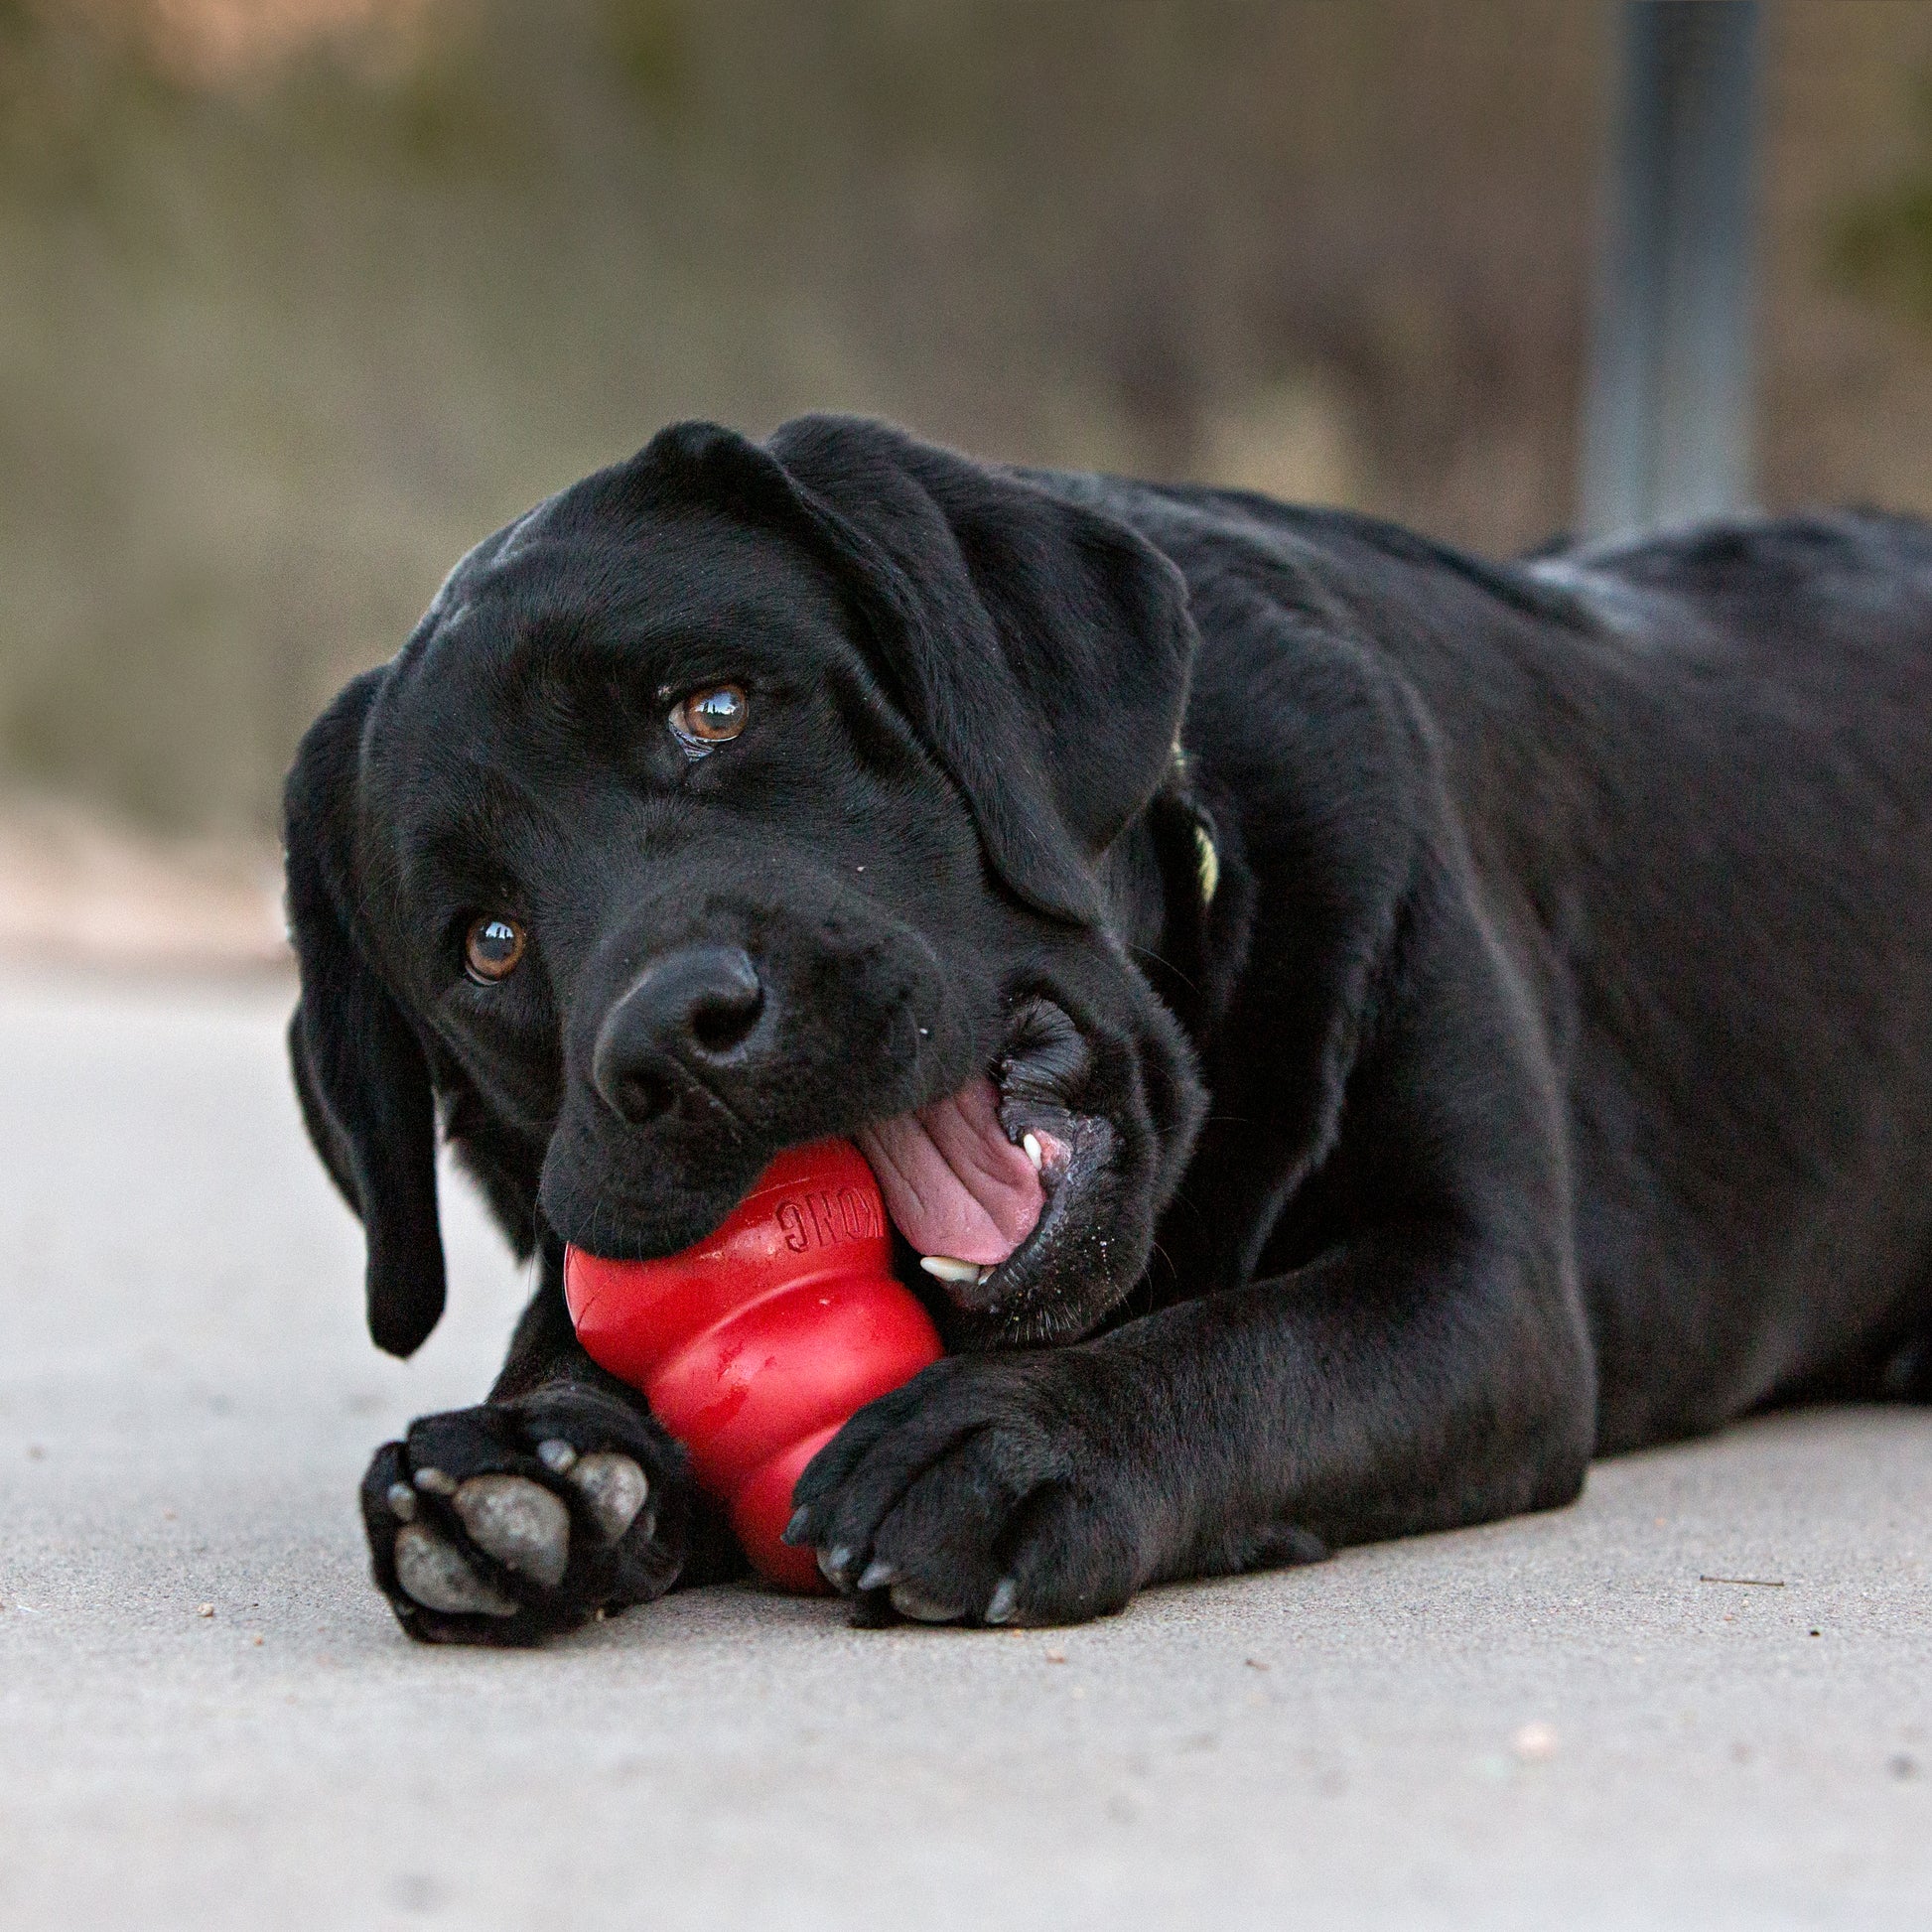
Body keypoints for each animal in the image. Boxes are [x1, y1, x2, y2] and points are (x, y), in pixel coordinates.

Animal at [282, 411, 1932, 1645]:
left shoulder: (1479, 1278)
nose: (673, 1037)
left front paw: (1020, 1442)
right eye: (486, 943)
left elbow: (1256, 1343)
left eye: (714, 707)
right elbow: (564, 1340)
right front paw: (530, 1462)